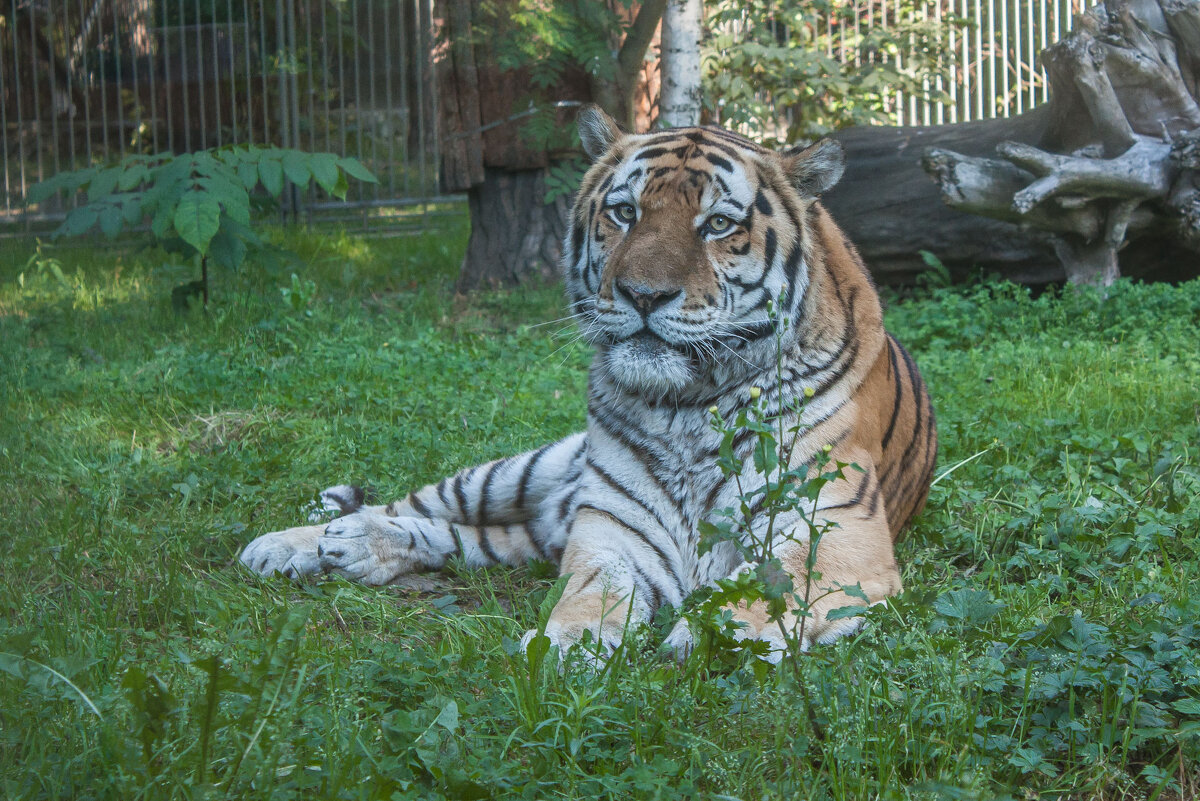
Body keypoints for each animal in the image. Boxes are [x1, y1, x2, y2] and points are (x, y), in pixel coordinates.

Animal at [241, 104, 936, 657]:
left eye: (718, 224)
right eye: (624, 213)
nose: (644, 295)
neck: (690, 405)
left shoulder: (835, 527)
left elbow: (769, 583)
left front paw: (710, 633)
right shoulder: (611, 531)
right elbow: (587, 595)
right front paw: (561, 648)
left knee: (471, 539)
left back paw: (354, 547)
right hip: (523, 472)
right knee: (418, 507)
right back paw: (296, 543)